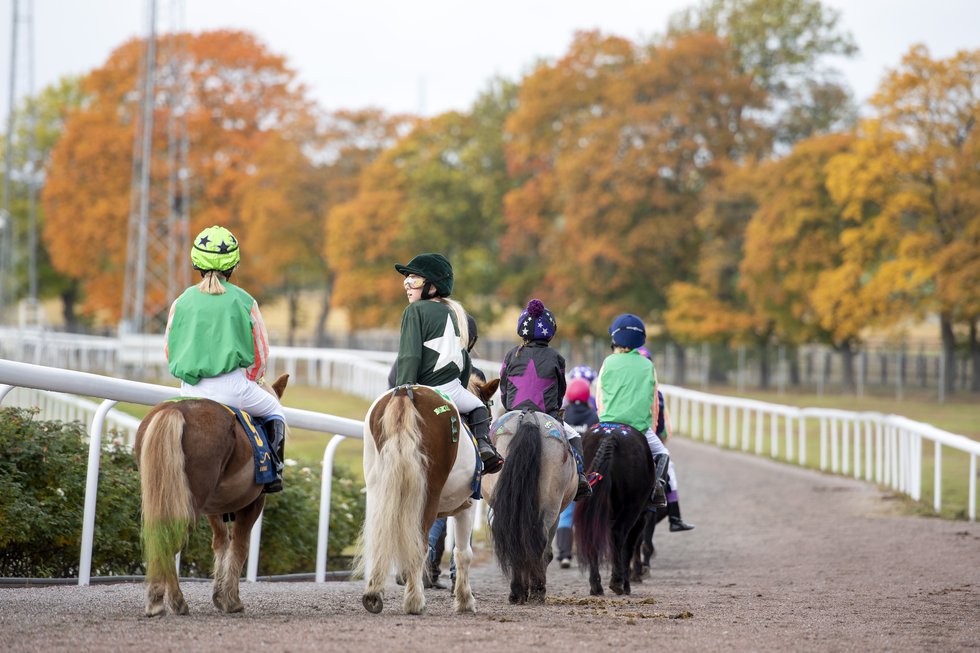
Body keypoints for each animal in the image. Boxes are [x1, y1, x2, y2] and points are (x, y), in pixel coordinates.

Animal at [134, 372, 290, 616]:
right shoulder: (253, 503)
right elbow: (240, 546)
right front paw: (232, 600)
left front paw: (219, 596)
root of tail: (177, 410)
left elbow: (221, 543)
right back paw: (173, 602)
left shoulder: (214, 508)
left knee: (162, 537)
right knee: (170, 539)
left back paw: (159, 599)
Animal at [356, 380, 490, 612]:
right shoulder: (468, 504)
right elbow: (463, 553)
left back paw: (373, 593)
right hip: (427, 495)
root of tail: (404, 391)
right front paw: (465, 600)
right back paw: (414, 600)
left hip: (377, 489)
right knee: (420, 545)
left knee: (379, 536)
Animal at [484, 404, 580, 604]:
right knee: (540, 543)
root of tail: (528, 418)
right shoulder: (556, 515)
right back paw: (535, 590)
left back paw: (519, 591)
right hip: (550, 506)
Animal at [576, 422, 660, 596]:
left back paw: (596, 586)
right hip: (632, 509)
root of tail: (610, 434)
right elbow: (630, 547)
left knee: (591, 535)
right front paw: (628, 580)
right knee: (620, 536)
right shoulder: (641, 518)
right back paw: (618, 582)